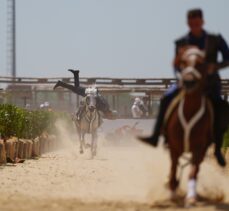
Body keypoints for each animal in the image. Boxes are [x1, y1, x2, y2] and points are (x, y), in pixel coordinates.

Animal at [165, 46, 213, 206]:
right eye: (183, 62)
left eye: (200, 64)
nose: (189, 82)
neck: (189, 112)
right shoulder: (173, 146)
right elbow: (173, 168)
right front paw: (172, 192)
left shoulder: (199, 147)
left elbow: (193, 171)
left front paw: (191, 197)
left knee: (195, 168)